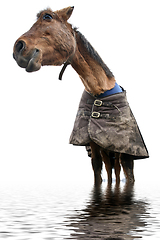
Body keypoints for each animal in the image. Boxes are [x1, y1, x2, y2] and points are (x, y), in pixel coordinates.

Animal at [12, 6, 149, 185]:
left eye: (47, 17)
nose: (18, 48)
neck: (100, 92)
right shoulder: (95, 145)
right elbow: (97, 171)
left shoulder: (123, 150)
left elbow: (127, 173)